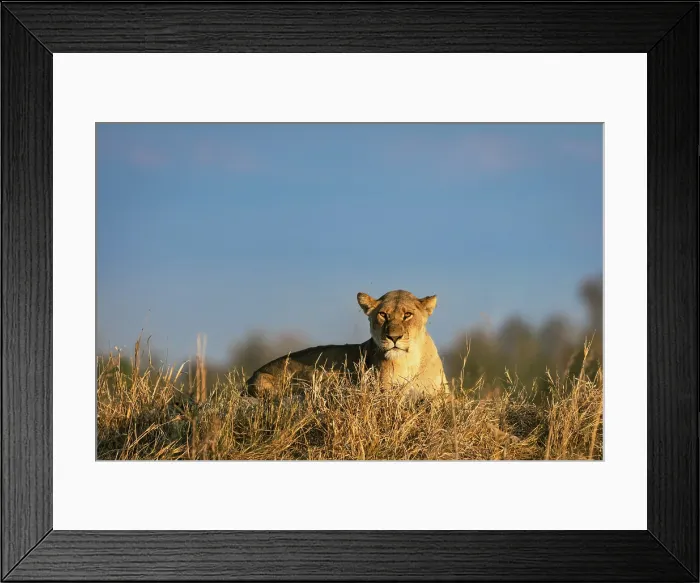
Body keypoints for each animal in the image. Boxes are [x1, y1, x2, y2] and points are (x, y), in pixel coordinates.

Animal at [245, 289, 449, 400]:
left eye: (407, 315)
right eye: (383, 314)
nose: (394, 337)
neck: (409, 360)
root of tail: (251, 377)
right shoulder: (384, 393)